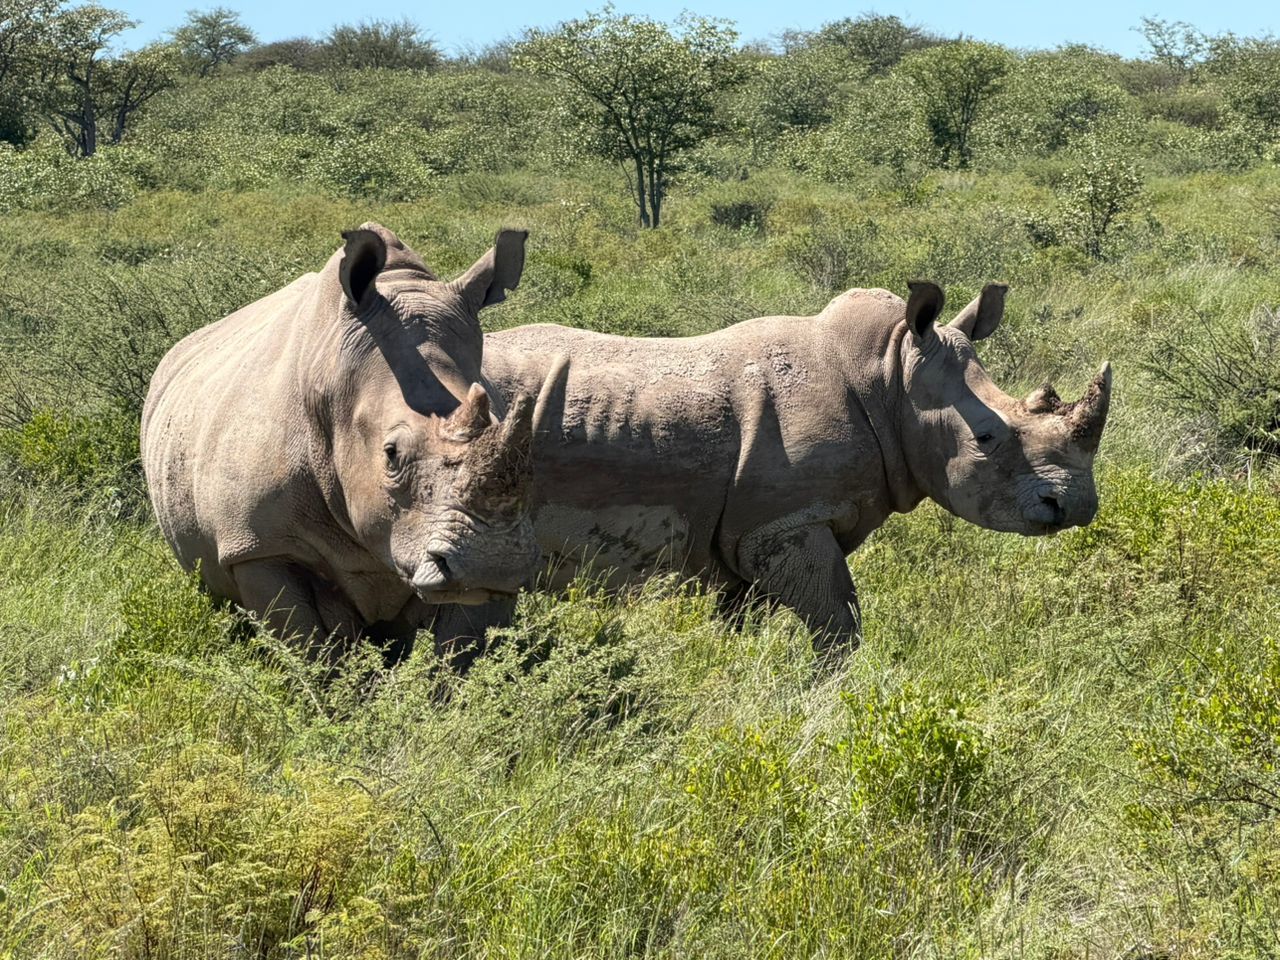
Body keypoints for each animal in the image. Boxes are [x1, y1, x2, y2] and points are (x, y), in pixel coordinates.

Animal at [141, 223, 539, 662]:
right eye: (391, 454)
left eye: (526, 449)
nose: (492, 562)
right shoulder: (258, 546)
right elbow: (309, 651)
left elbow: (462, 653)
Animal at [458, 281, 1111, 657]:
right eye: (987, 438)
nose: (1076, 505)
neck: (890, 379)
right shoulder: (782, 522)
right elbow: (838, 620)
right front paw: (836, 696)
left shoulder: (744, 536)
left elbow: (740, 624)